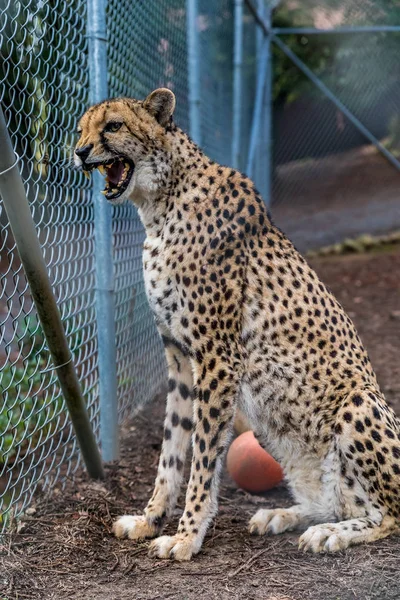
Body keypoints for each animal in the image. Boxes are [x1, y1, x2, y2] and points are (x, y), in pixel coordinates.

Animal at [75, 89, 400, 564]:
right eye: (81, 129)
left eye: (113, 126)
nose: (80, 152)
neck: (159, 204)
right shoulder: (180, 357)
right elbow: (172, 449)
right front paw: (150, 519)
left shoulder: (218, 357)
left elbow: (203, 458)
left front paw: (186, 536)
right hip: (267, 418)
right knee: (339, 502)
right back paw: (283, 515)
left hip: (355, 403)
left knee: (388, 514)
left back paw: (331, 534)